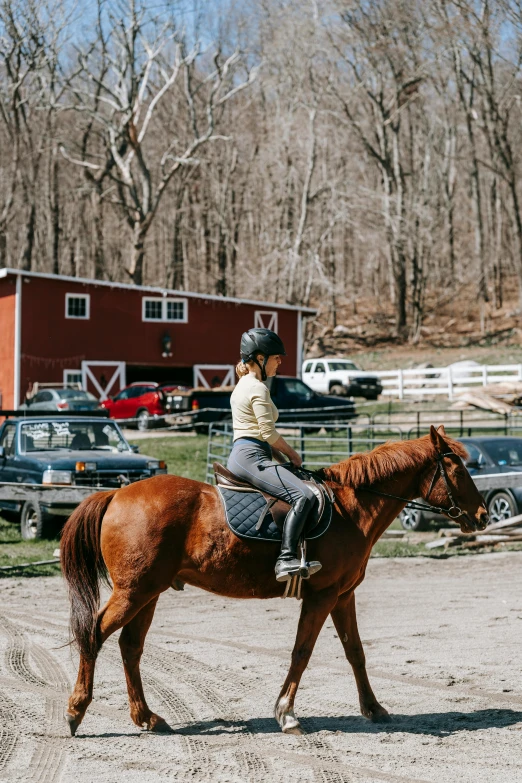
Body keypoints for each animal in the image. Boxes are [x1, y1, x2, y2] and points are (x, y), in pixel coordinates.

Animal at [61, 422, 488, 736]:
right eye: (457, 469)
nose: (483, 516)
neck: (350, 507)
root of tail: (116, 495)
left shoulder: (343, 596)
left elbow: (355, 652)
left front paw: (374, 707)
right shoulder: (322, 596)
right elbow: (302, 652)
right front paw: (286, 713)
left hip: (149, 593)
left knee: (130, 647)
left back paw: (147, 718)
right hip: (135, 592)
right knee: (94, 634)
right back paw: (76, 711)